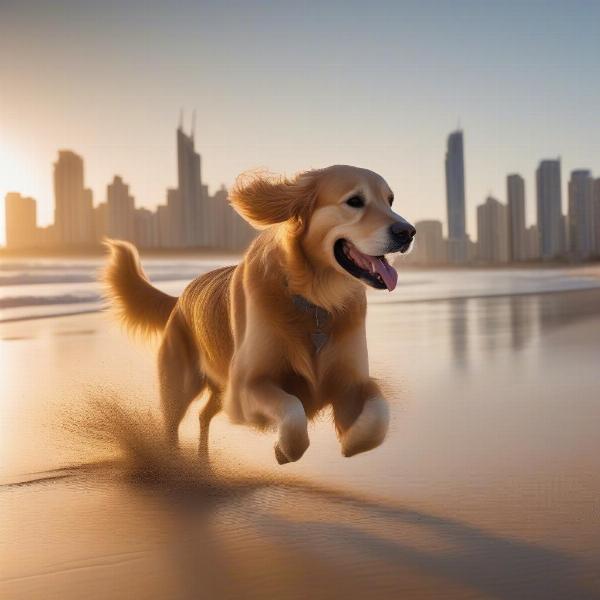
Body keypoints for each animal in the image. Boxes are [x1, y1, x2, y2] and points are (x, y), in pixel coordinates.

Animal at [103, 164, 414, 464]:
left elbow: (379, 415)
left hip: (218, 388)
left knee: (204, 415)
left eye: (390, 200)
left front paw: (352, 440)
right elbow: (293, 409)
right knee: (170, 426)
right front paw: (284, 449)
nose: (408, 232)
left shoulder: (351, 381)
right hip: (180, 386)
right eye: (355, 201)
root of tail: (180, 297)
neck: (315, 300)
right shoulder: (247, 386)